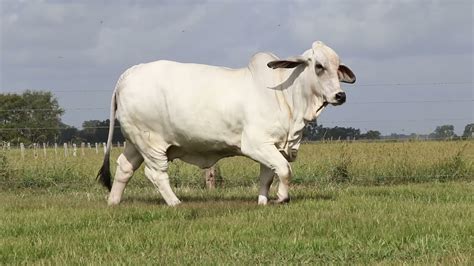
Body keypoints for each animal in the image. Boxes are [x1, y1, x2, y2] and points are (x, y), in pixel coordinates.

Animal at [97, 40, 356, 206]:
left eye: (337, 67)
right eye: (319, 66)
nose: (340, 96)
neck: (286, 95)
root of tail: (127, 75)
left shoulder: (273, 145)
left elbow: (268, 175)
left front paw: (263, 202)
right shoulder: (256, 144)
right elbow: (284, 170)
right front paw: (282, 198)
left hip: (135, 142)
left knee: (124, 167)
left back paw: (113, 202)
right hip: (151, 143)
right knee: (156, 173)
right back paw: (175, 202)